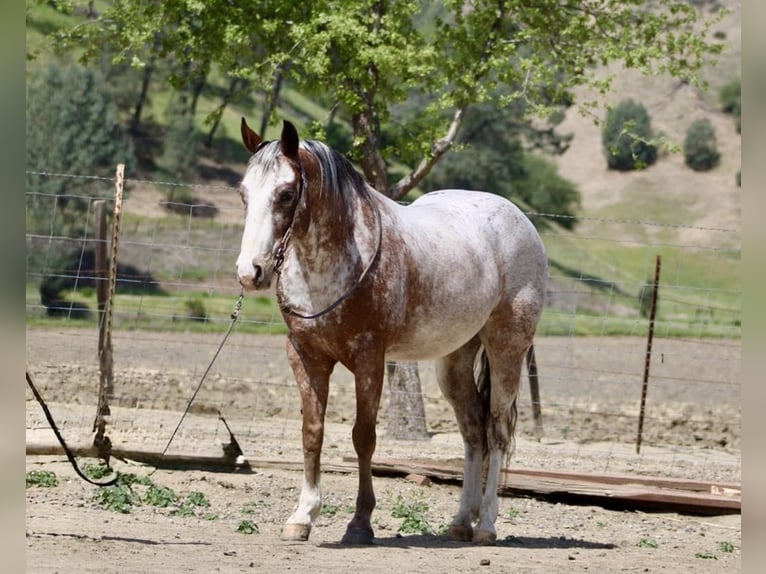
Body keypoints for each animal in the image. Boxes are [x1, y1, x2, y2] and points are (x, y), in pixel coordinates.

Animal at [235, 118, 547, 545]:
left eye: (285, 194)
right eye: (243, 193)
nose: (250, 272)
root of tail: (521, 220)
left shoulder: (369, 359)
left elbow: (363, 437)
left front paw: (360, 523)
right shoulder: (306, 356)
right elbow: (312, 432)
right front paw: (303, 516)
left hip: (507, 349)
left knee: (497, 429)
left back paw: (485, 525)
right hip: (454, 361)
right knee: (473, 432)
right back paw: (460, 522)